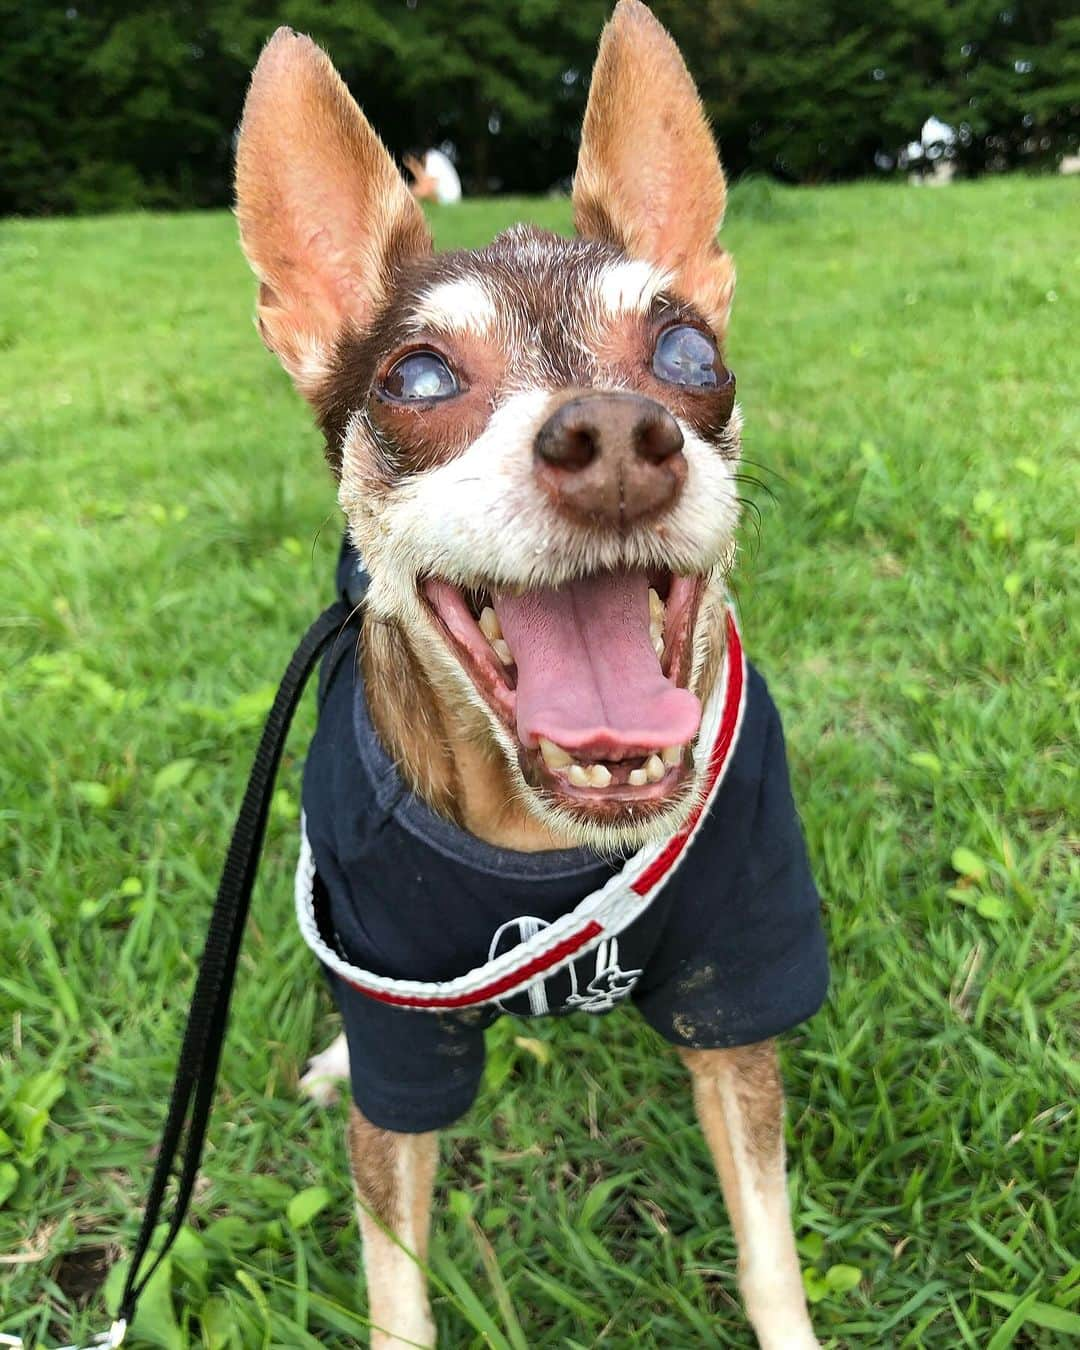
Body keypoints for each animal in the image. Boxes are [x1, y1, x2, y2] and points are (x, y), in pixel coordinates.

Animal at [233, 5, 826, 1344]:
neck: (541, 838)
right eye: (416, 378)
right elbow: (394, 1279)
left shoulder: (738, 992)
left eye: (686, 349)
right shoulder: (400, 1075)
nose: (613, 436)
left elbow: (769, 1244)